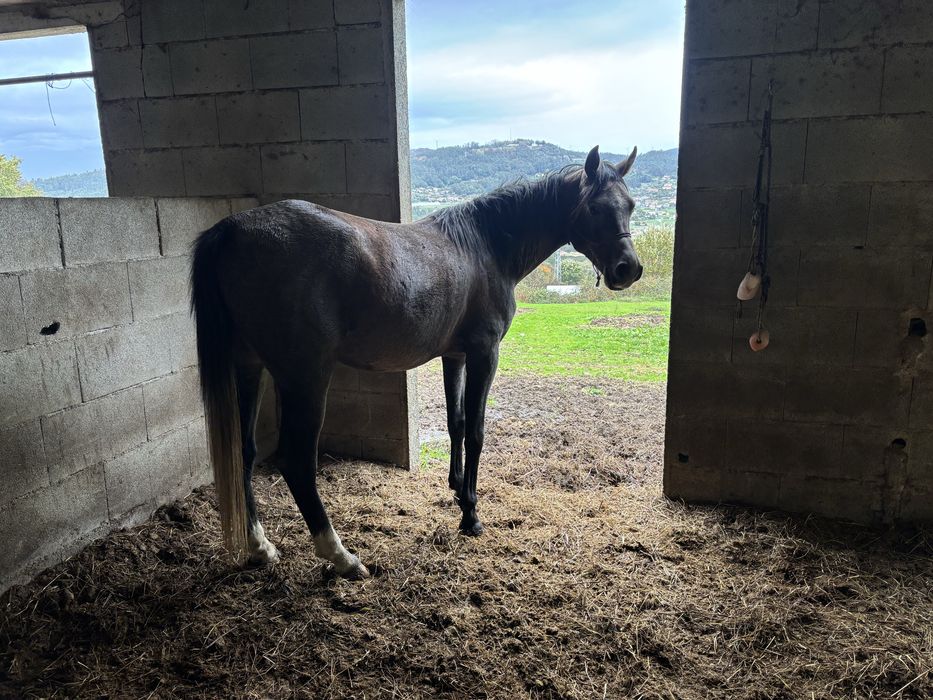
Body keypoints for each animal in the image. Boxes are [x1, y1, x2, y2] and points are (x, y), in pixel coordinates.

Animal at [190, 145, 642, 579]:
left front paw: (457, 490)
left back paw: (260, 547)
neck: (486, 247)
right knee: (296, 462)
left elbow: (456, 422)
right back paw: (342, 558)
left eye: (630, 205)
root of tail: (232, 229)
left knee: (245, 451)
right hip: (306, 377)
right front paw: (471, 516)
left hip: (250, 369)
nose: (628, 269)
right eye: (596, 208)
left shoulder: (455, 355)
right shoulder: (485, 353)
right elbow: (476, 431)